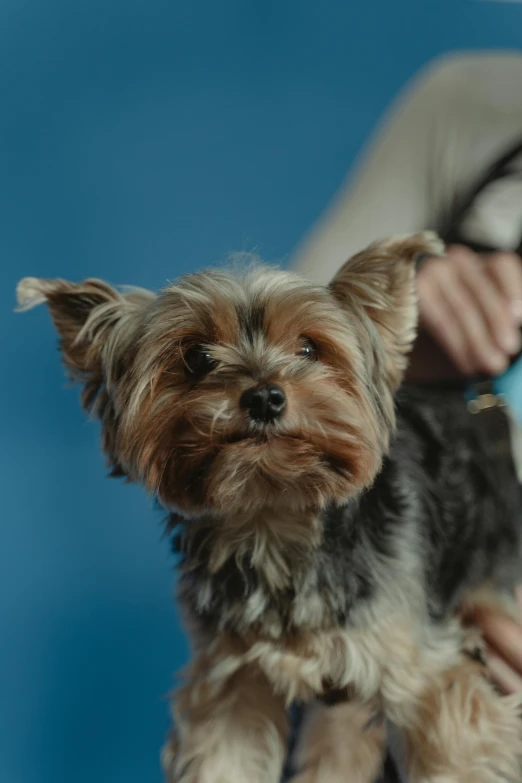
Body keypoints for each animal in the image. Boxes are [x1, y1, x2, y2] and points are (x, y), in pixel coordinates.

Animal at [15, 234, 520, 783]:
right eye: (197, 357)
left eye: (308, 348)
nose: (263, 397)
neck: (270, 515)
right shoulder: (230, 687)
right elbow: (223, 757)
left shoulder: (427, 671)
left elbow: (455, 745)